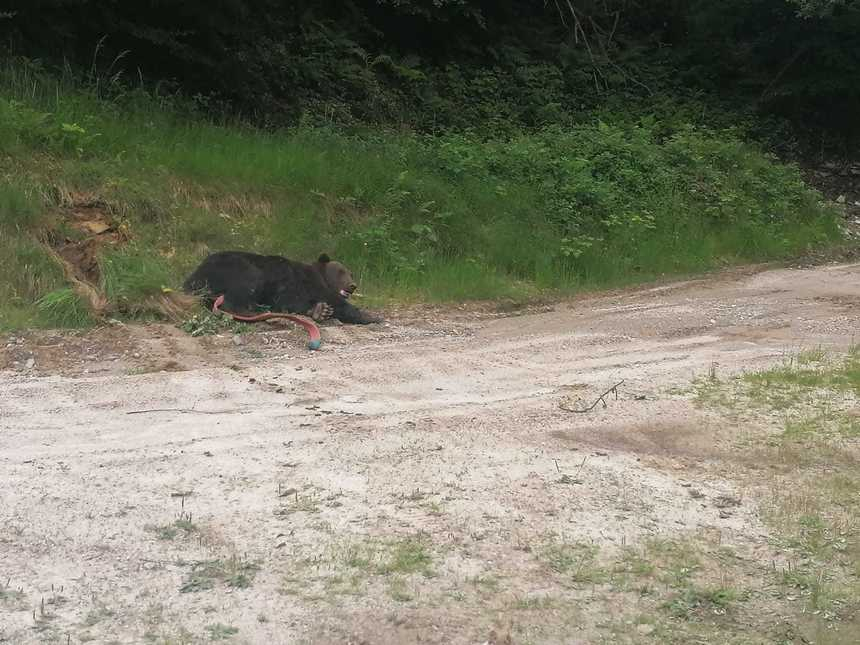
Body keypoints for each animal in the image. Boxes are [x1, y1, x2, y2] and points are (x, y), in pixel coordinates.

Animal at [183, 250, 382, 324]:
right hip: (236, 266)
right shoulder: (303, 282)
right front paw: (370, 316)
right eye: (341, 271)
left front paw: (319, 310)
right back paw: (249, 311)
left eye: (351, 273)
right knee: (246, 283)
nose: (353, 285)